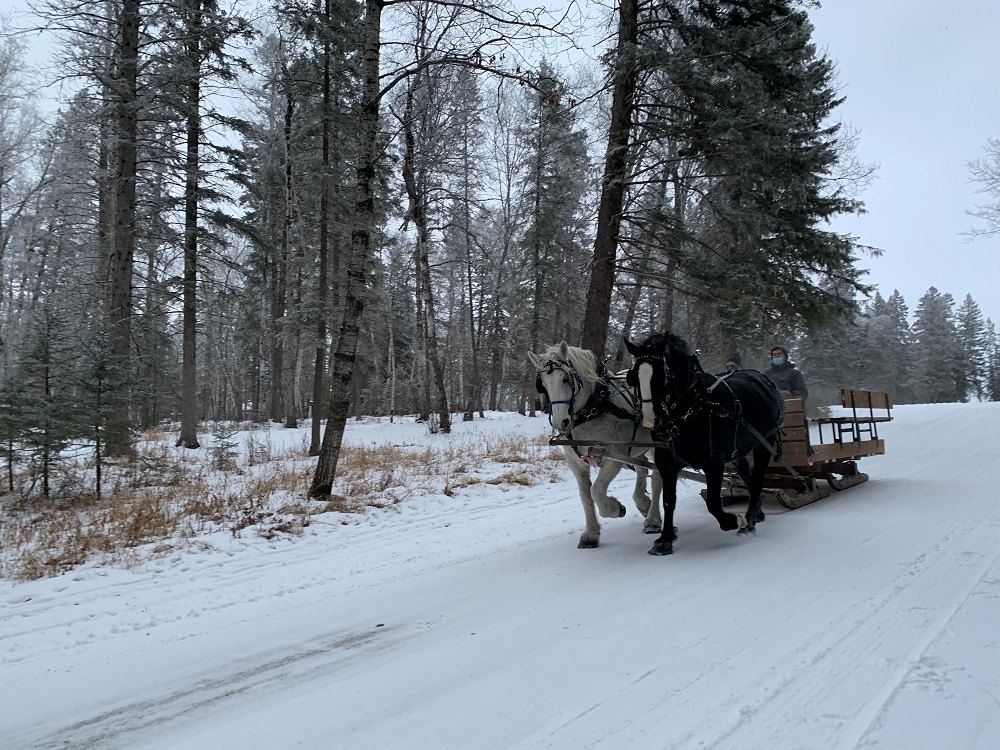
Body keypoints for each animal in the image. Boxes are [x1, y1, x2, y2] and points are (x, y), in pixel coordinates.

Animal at [532, 344, 664, 548]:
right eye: (543, 385)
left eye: (565, 379)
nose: (561, 422)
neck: (594, 409)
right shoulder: (576, 463)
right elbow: (585, 497)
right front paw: (591, 534)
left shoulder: (613, 457)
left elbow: (596, 491)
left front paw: (615, 508)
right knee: (642, 469)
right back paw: (643, 503)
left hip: (657, 445)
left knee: (657, 478)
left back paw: (653, 520)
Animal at [620, 332, 784, 556]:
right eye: (633, 376)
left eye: (662, 375)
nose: (649, 420)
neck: (693, 408)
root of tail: (763, 378)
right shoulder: (666, 462)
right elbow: (668, 501)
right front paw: (665, 539)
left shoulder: (714, 462)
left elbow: (714, 503)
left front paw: (734, 520)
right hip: (740, 450)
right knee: (747, 476)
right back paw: (757, 512)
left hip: (765, 442)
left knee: (758, 480)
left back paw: (749, 522)